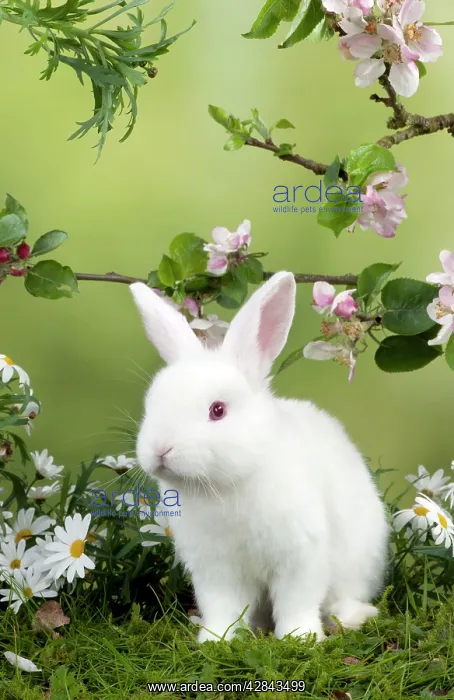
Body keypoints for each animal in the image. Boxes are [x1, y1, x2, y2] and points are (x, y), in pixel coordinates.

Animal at [130, 271, 389, 643]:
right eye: (152, 403)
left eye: (218, 410)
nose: (160, 449)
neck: (225, 485)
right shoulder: (215, 569)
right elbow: (222, 606)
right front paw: (215, 639)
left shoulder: (301, 556)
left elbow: (297, 601)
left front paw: (300, 638)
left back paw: (352, 617)